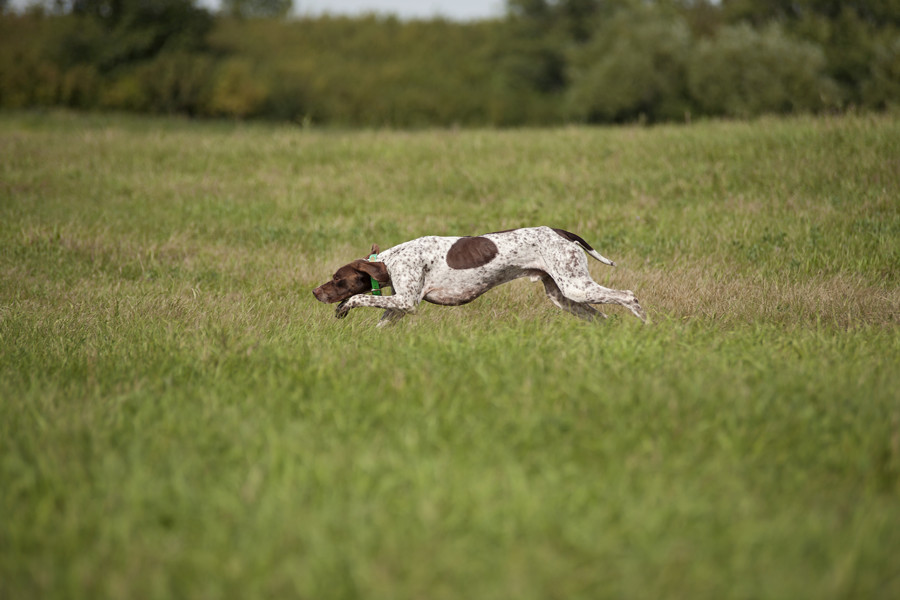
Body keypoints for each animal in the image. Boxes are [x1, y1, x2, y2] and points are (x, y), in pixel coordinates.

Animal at [312, 226, 644, 328]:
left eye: (337, 279)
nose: (315, 292)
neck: (390, 261)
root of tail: (561, 232)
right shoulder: (399, 307)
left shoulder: (406, 302)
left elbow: (359, 298)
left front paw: (343, 307)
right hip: (563, 295)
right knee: (603, 318)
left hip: (576, 287)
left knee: (629, 297)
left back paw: (646, 326)